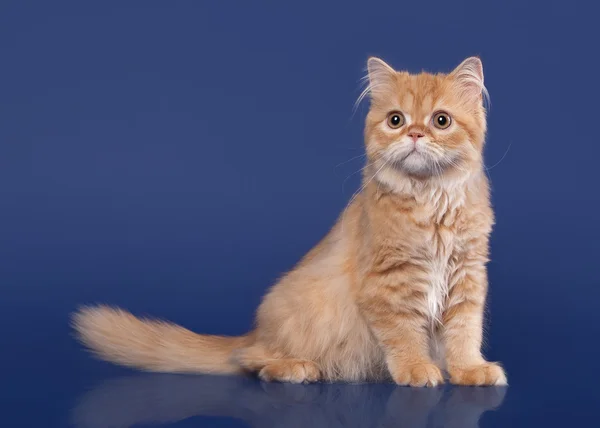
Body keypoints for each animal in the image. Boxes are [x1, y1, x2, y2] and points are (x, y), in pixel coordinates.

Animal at [74, 56, 506, 388]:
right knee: (248, 359)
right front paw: (418, 369)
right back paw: (297, 368)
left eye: (441, 121)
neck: (431, 202)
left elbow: (464, 333)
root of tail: (254, 331)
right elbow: (404, 336)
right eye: (396, 120)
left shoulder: (467, 276)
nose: (415, 134)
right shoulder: (387, 284)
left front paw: (469, 370)